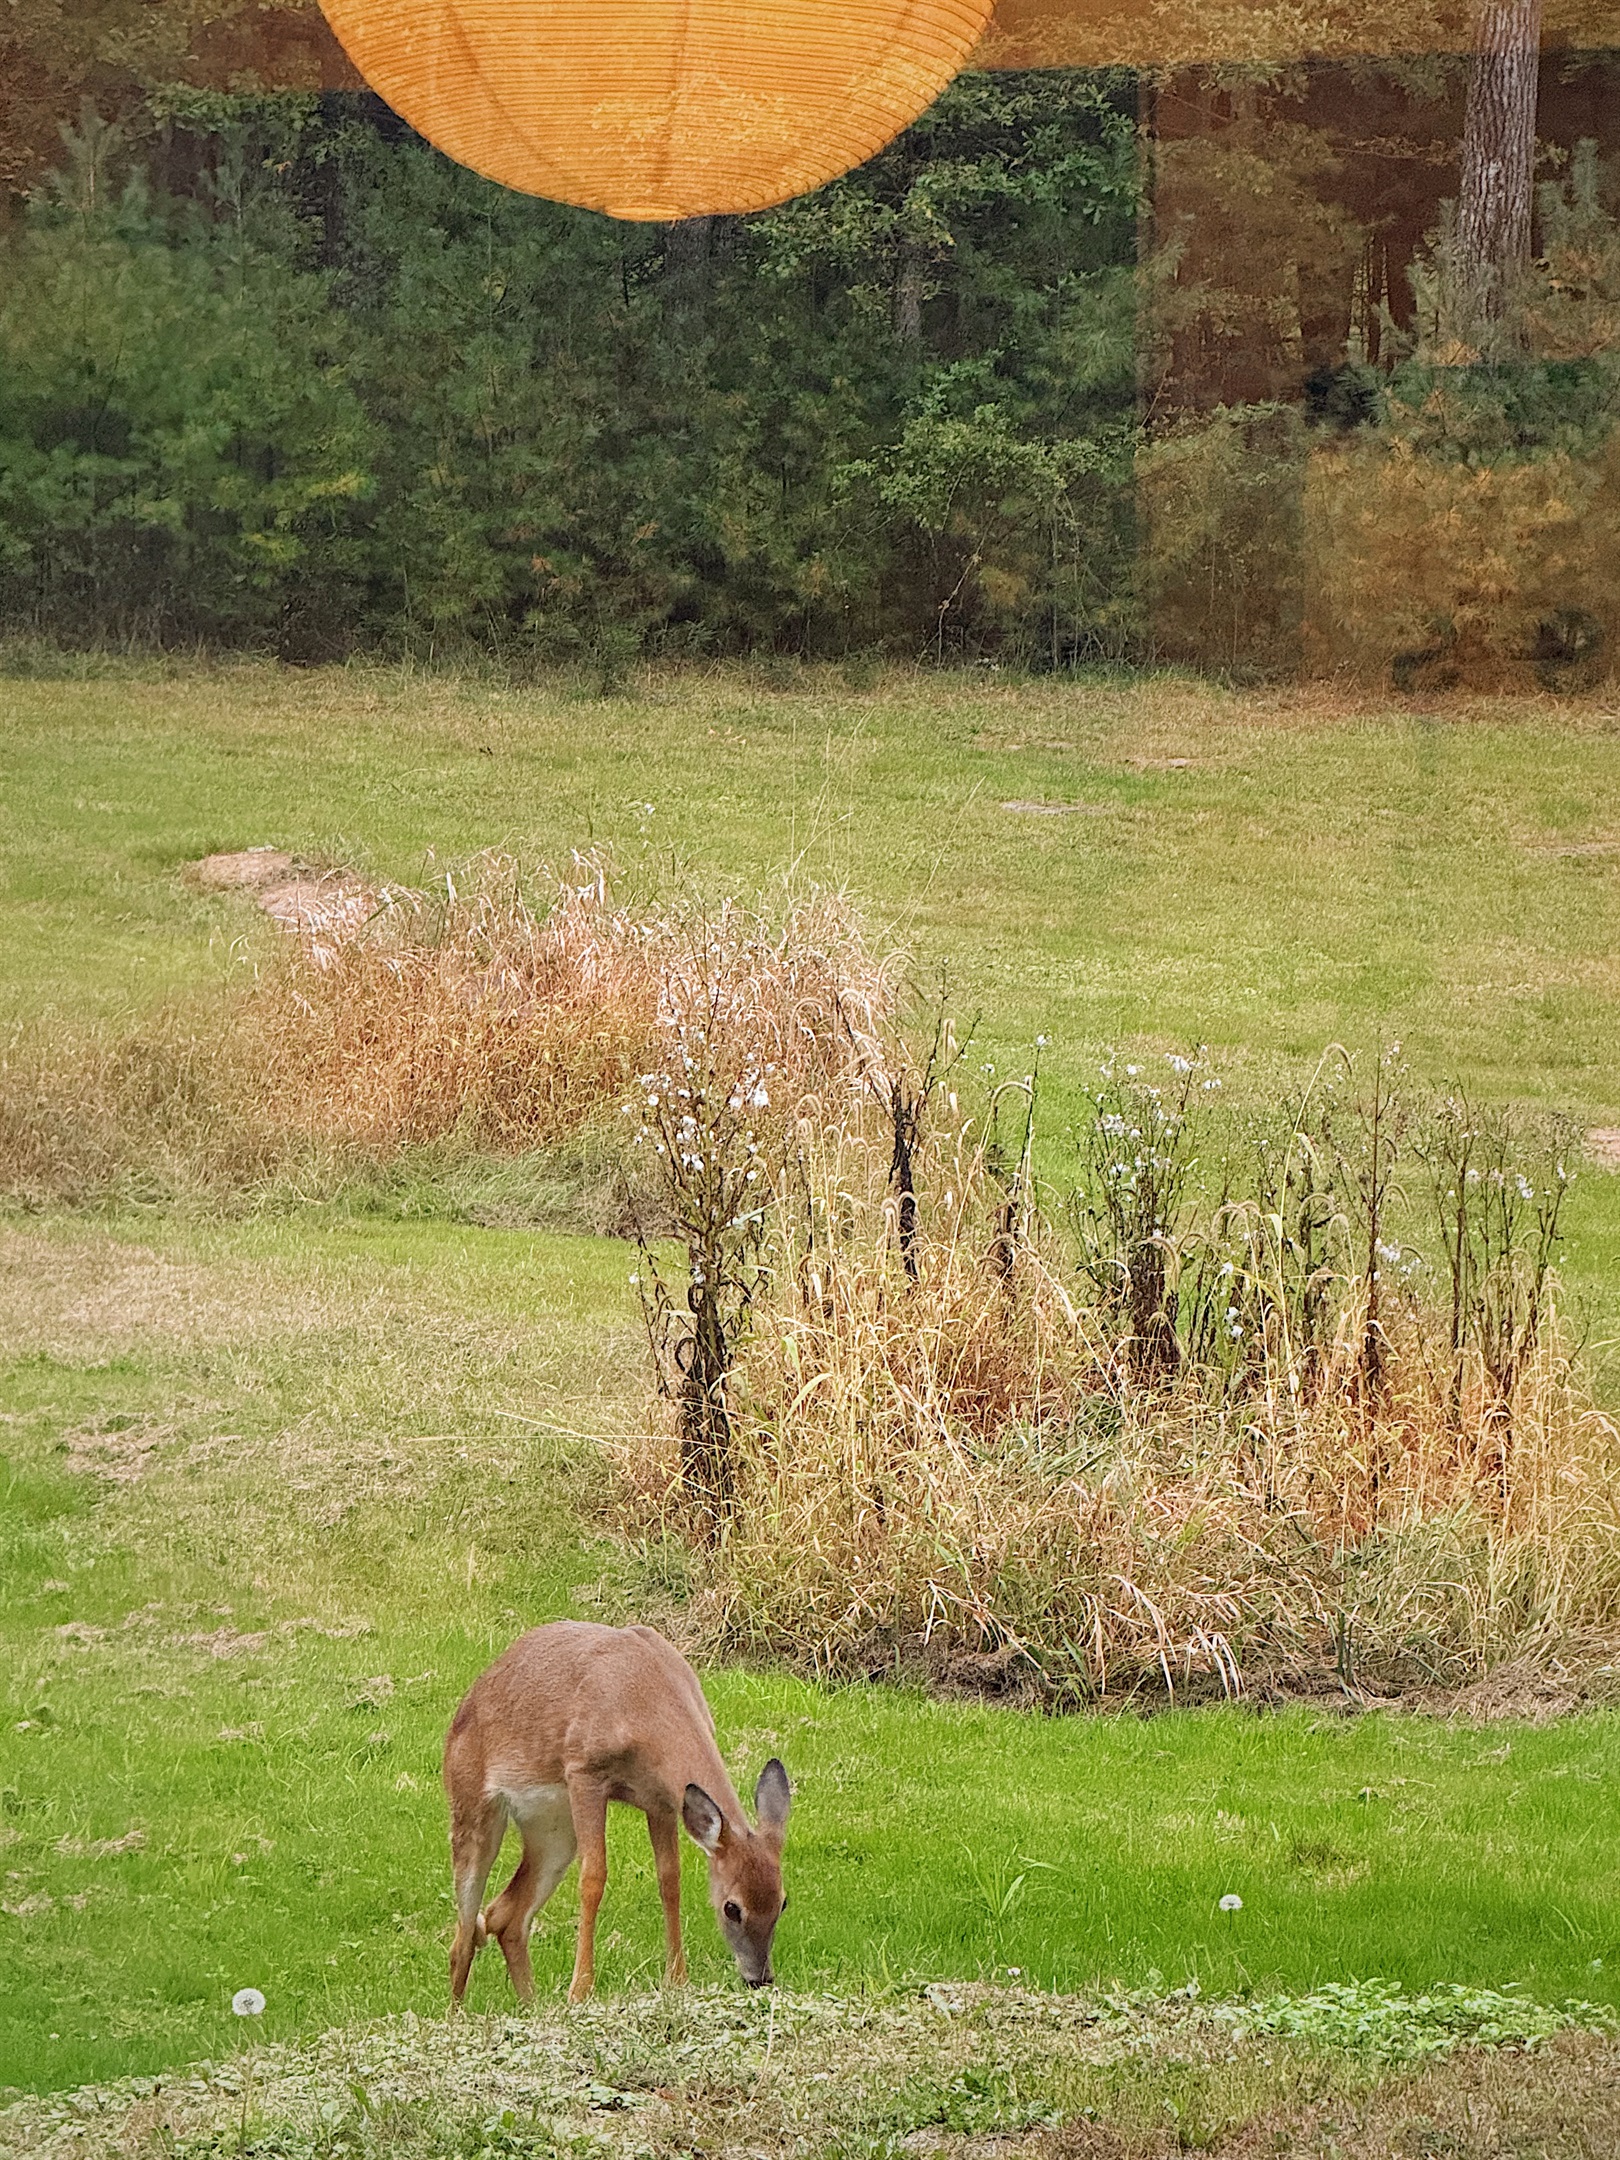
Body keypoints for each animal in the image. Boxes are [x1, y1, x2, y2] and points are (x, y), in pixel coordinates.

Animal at [442, 1619, 790, 2007]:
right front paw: (580, 1990)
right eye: (732, 1907)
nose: (759, 1978)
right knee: (464, 1936)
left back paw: (532, 2005)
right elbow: (593, 1877)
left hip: (553, 1829)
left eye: (783, 1902)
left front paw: (677, 1980)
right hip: (471, 1804)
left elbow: (670, 1879)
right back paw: (458, 2014)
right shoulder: (584, 1772)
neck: (643, 1703)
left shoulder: (662, 1801)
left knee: (504, 1917)